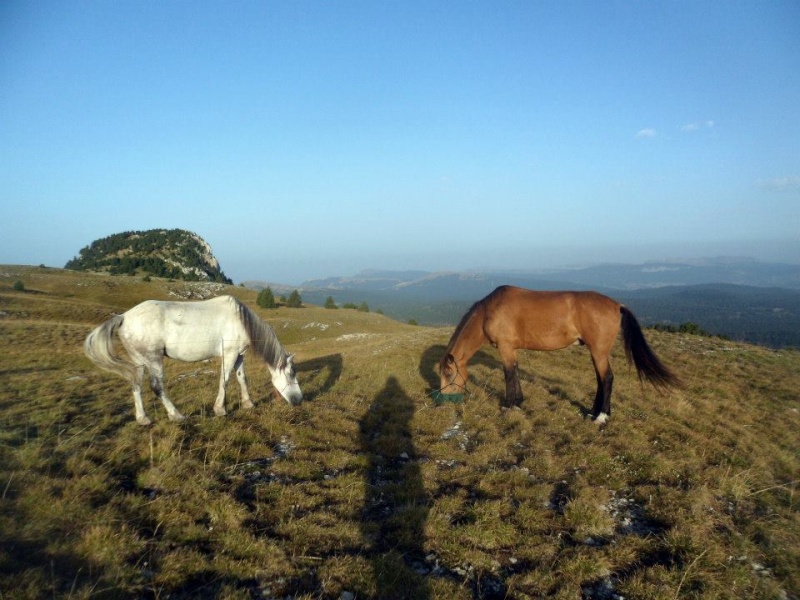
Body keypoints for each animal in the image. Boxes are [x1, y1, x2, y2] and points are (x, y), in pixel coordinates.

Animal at [84, 292, 304, 424]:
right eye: (292, 373)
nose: (299, 400)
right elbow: (224, 380)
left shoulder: (239, 355)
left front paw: (248, 404)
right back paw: (176, 415)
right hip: (154, 359)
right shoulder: (229, 353)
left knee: (136, 385)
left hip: (139, 361)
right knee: (157, 387)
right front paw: (220, 409)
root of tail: (124, 317)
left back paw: (143, 418)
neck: (241, 320)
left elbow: (242, 379)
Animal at [438, 284, 680, 422]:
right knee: (600, 380)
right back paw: (593, 412)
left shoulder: (505, 348)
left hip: (599, 352)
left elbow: (508, 375)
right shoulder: (512, 350)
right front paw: (518, 402)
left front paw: (509, 405)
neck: (490, 311)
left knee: (607, 378)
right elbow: (515, 373)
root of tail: (617, 305)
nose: (443, 400)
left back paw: (601, 417)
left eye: (449, 374)